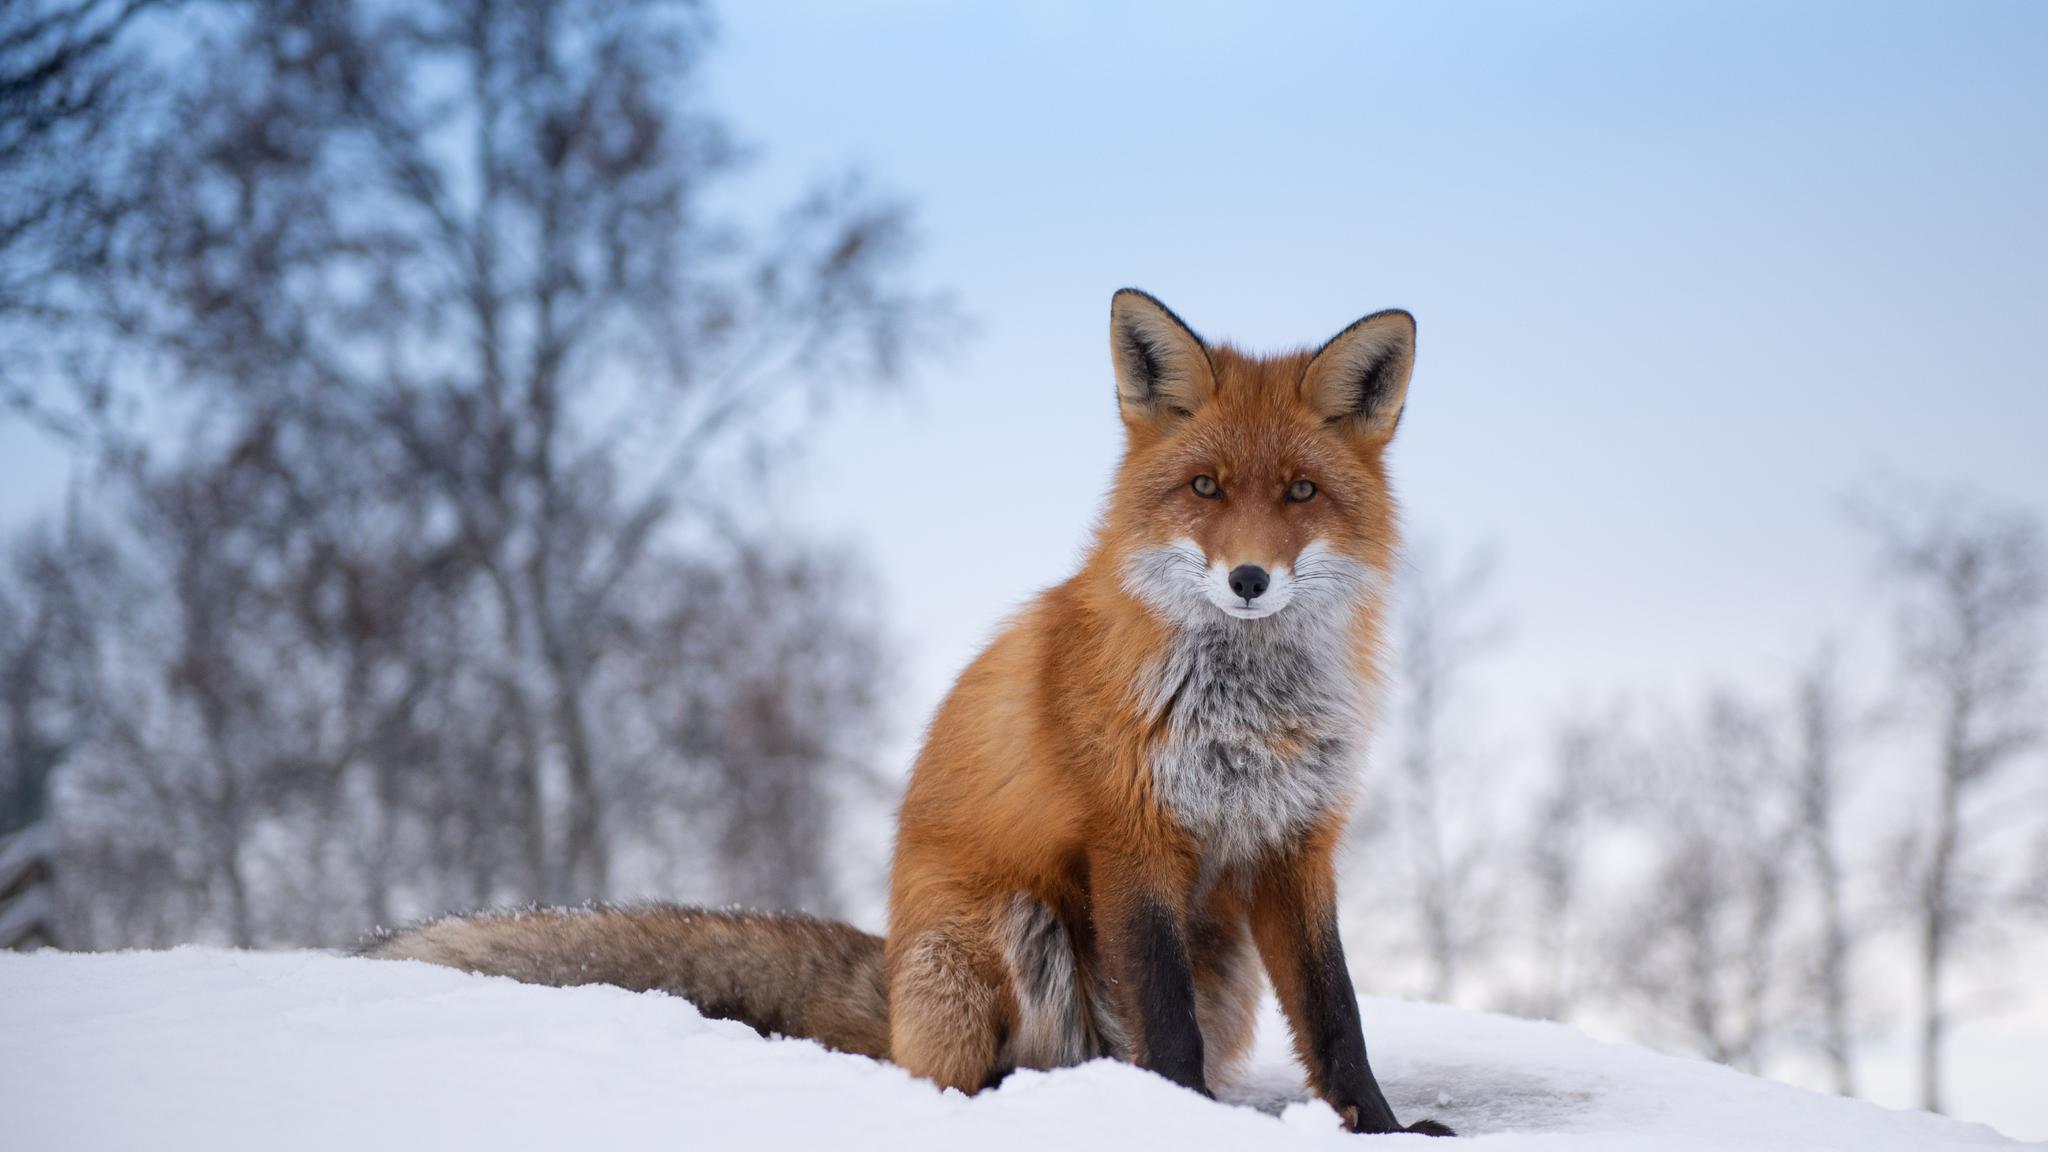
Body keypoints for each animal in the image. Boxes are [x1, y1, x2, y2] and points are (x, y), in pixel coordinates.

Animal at [364, 289, 1450, 1136]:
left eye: (1300, 491)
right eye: (1205, 487)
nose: (1248, 579)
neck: (1246, 714)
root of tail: (890, 988)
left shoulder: (1293, 844)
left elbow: (1336, 1016)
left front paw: (1383, 1128)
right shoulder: (1133, 839)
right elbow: (1168, 1023)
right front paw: (1181, 1121)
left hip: (1215, 961)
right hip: (1011, 928)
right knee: (960, 1080)